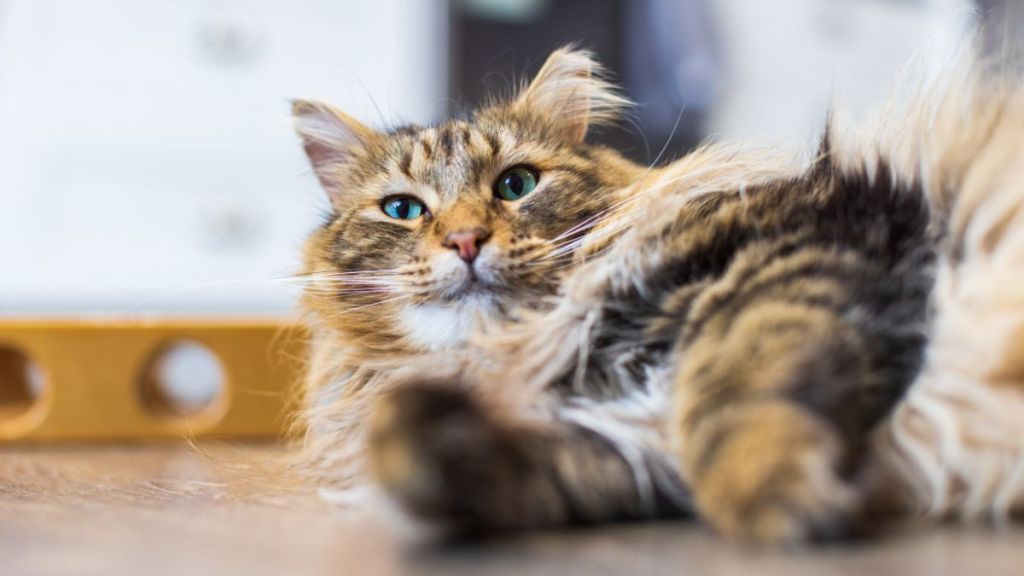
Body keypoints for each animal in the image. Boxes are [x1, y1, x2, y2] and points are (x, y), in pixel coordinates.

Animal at [290, 41, 1024, 541]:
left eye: (516, 185)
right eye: (404, 210)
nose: (467, 241)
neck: (529, 348)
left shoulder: (800, 245)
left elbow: (731, 392)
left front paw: (777, 497)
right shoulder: (622, 445)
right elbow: (455, 452)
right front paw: (416, 444)